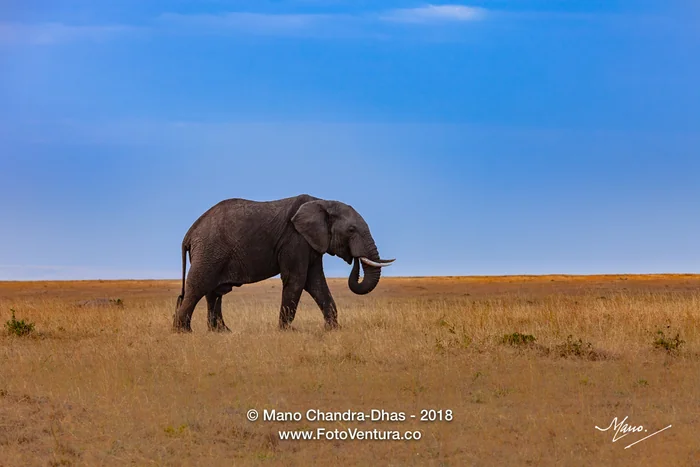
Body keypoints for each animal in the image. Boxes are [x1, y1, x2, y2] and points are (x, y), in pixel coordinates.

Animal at [172, 194, 395, 332]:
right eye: (351, 230)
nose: (354, 259)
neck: (322, 202)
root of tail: (189, 233)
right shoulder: (294, 240)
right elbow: (297, 280)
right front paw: (288, 331)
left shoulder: (311, 243)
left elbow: (316, 283)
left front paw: (333, 330)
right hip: (209, 251)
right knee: (198, 287)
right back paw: (183, 331)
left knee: (213, 292)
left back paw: (221, 332)